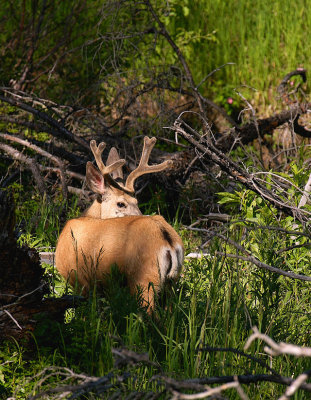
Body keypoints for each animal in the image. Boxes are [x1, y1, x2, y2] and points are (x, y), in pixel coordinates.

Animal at [54, 137, 184, 310]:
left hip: (144, 277)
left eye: (136, 202)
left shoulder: (79, 279)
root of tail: (167, 239)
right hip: (171, 282)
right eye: (121, 204)